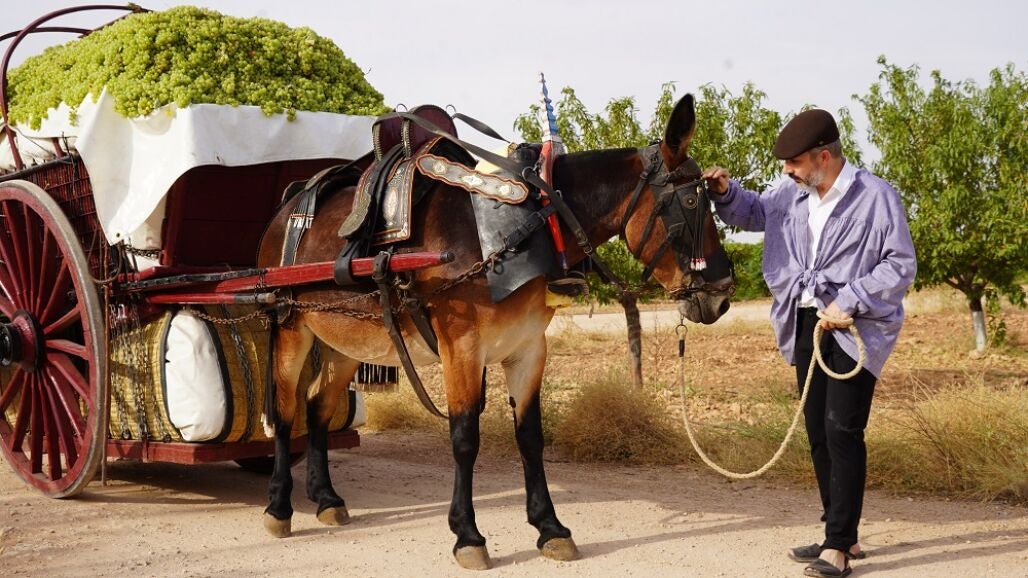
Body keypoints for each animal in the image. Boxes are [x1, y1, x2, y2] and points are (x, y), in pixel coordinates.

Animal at [256, 94, 735, 569]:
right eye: (692, 204)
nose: (722, 295)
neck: (528, 224)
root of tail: (287, 208)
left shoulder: (528, 349)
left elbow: (531, 437)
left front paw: (550, 527)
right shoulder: (462, 347)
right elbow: (465, 438)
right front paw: (467, 535)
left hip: (346, 340)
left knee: (317, 407)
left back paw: (326, 499)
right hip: (290, 325)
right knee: (286, 411)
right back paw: (278, 507)